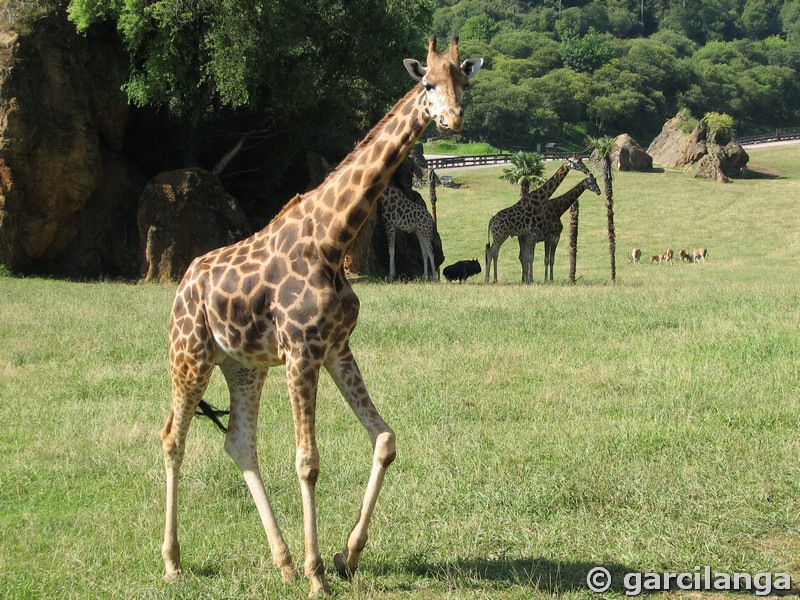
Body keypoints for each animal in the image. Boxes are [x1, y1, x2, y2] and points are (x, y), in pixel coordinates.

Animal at [159, 36, 478, 596]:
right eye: (426, 83)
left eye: (464, 80)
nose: (452, 119)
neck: (332, 240)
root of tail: (181, 285)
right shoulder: (301, 352)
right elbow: (307, 461)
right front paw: (317, 575)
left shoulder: (335, 347)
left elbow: (385, 440)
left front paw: (346, 555)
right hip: (190, 354)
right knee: (173, 438)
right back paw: (175, 563)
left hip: (243, 365)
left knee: (239, 443)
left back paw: (282, 561)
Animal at [484, 156, 592, 284]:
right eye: (577, 162)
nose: (587, 170)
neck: (539, 200)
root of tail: (491, 222)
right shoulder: (534, 233)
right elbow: (531, 256)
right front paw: (531, 280)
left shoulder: (532, 234)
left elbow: (529, 256)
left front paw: (529, 279)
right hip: (500, 235)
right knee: (491, 252)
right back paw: (488, 279)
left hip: (501, 236)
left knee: (494, 253)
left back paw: (495, 279)